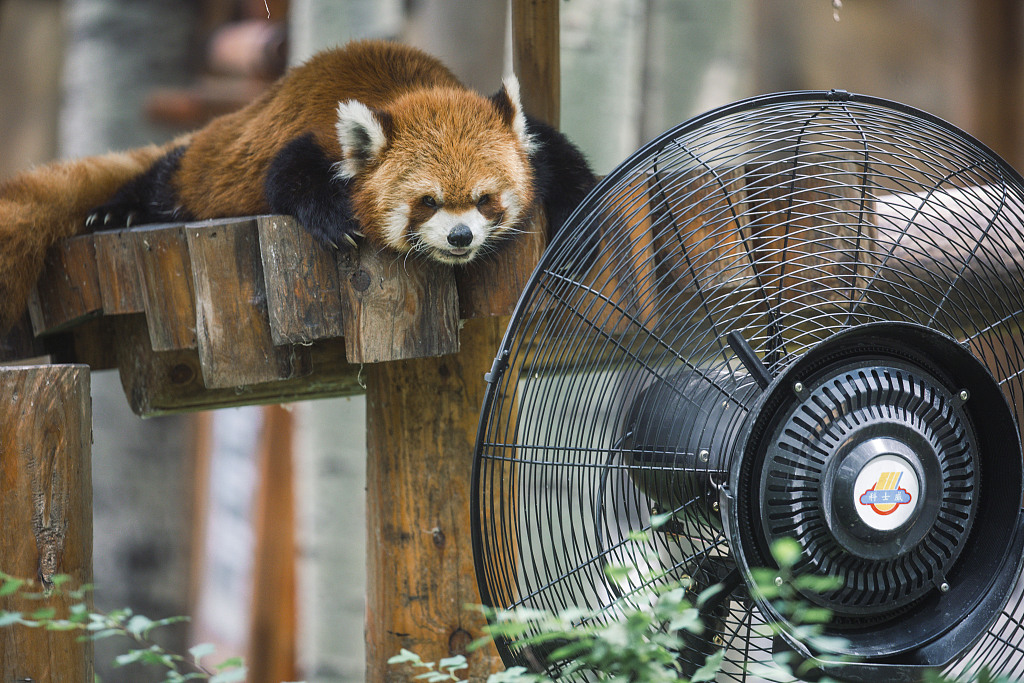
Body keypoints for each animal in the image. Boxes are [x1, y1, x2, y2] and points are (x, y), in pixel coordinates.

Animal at [0, 40, 593, 333]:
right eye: (427, 203)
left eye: (484, 200)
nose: (460, 238)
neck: (410, 87)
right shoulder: (310, 138)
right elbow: (287, 175)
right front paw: (336, 221)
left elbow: (561, 163)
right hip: (210, 158)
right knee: (167, 178)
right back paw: (118, 210)